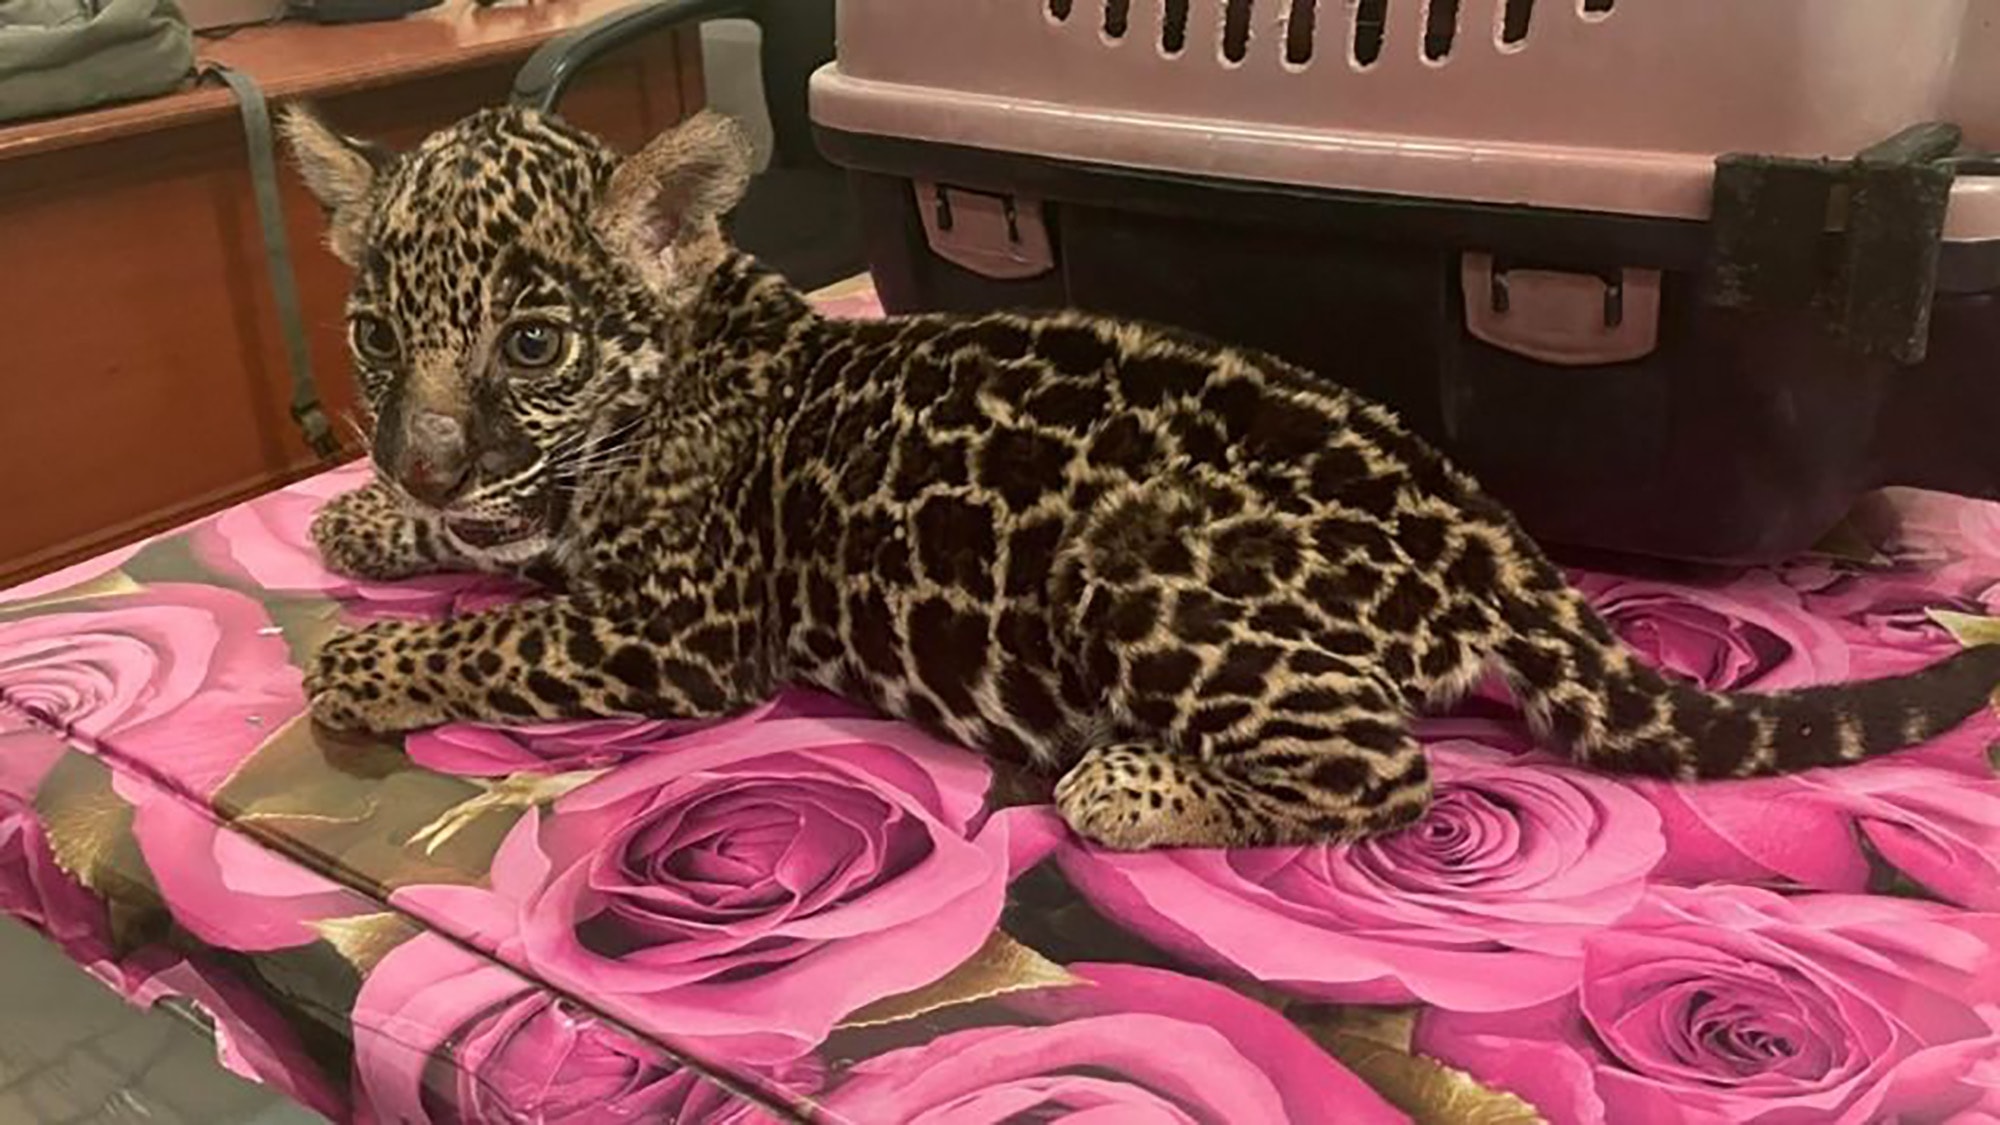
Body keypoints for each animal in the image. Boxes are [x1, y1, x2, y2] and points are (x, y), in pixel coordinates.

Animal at [285, 104, 2000, 851]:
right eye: (371, 334)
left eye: (531, 342)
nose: (420, 457)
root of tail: (1499, 542)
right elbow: (497, 554)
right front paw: (374, 514)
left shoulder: (674, 633)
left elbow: (493, 632)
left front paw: (359, 658)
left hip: (1140, 559)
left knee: (1387, 773)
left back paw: (1129, 783)